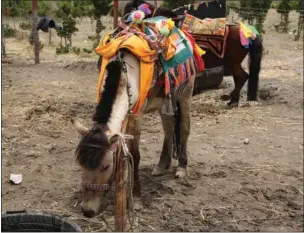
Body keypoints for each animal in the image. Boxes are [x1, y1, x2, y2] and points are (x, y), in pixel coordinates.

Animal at [73, 23, 197, 217]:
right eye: (81, 164)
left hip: (185, 94)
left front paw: (136, 198)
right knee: (169, 128)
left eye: (105, 167)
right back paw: (162, 165)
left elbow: (135, 154)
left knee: (184, 128)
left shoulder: (136, 117)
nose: (88, 211)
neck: (125, 76)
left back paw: (181, 168)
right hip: (165, 100)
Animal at [123, 0, 264, 107]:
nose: (122, 30)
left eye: (130, 11)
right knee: (241, 77)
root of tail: (249, 32)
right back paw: (233, 100)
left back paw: (233, 101)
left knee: (242, 76)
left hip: (232, 61)